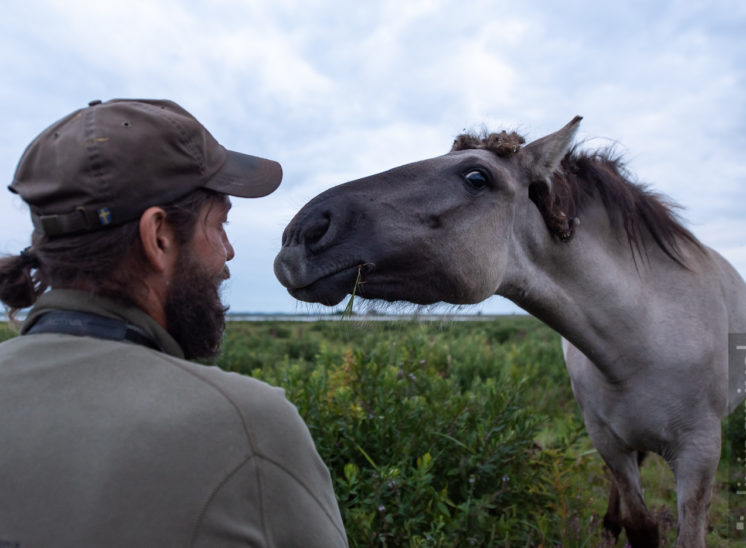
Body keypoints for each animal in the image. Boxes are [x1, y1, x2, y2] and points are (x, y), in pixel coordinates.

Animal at [272, 116, 744, 548]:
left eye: (477, 177)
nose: (302, 232)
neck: (639, 342)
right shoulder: (607, 441)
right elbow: (641, 525)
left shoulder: (700, 455)